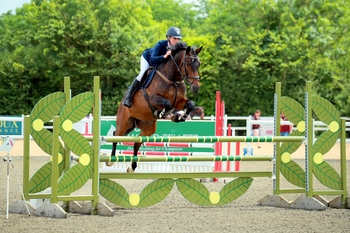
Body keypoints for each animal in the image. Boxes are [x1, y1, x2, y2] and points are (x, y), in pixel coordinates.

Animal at [109, 41, 202, 171]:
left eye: (198, 64)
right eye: (187, 64)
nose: (196, 87)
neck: (173, 79)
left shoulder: (179, 102)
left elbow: (191, 104)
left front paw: (179, 117)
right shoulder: (154, 99)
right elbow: (167, 104)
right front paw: (163, 113)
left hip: (147, 128)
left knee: (136, 143)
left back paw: (132, 167)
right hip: (124, 122)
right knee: (116, 136)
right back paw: (111, 160)